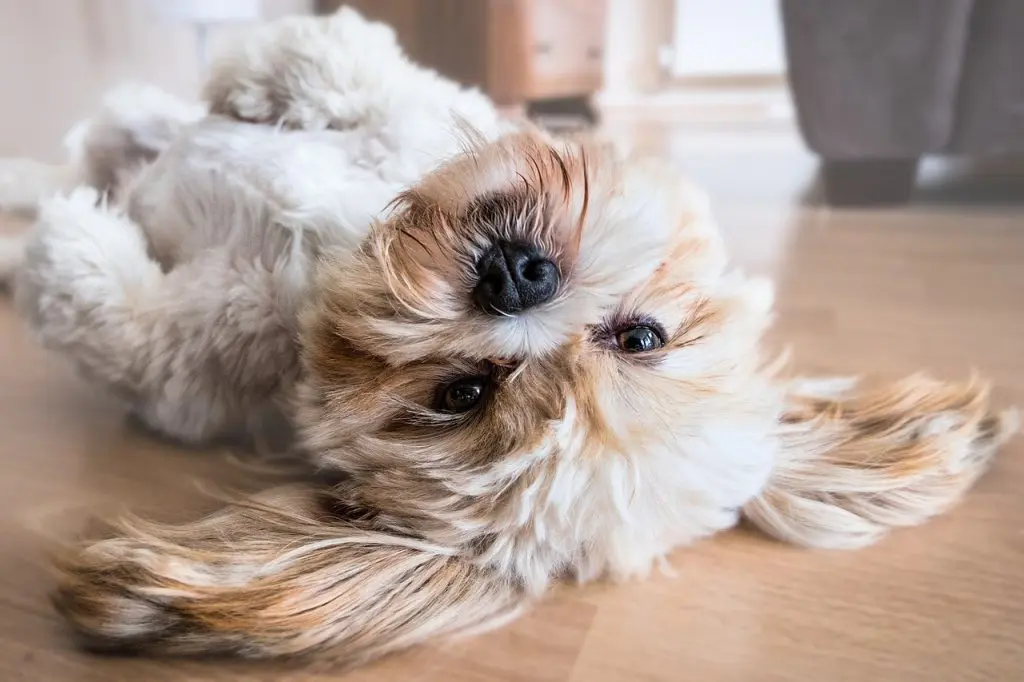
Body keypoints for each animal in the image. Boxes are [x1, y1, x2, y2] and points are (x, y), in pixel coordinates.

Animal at [0, 5, 1015, 663]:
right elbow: (349, 69)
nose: (516, 276)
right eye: (641, 336)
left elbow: (121, 320)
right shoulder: (410, 113)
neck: (332, 255)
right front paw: (266, 75)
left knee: (81, 175)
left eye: (462, 393)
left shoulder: (194, 369)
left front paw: (69, 245)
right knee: (103, 134)